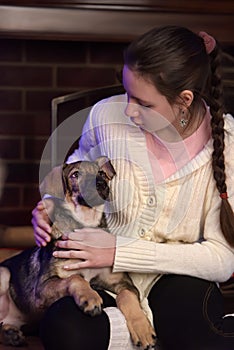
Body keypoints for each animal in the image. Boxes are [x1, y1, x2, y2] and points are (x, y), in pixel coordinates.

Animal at [0, 157, 157, 348]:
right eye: (75, 175)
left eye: (101, 173)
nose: (100, 183)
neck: (86, 223)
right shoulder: (43, 287)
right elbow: (75, 278)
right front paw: (90, 297)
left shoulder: (121, 281)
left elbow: (127, 296)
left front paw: (142, 329)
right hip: (4, 273)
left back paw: (11, 334)